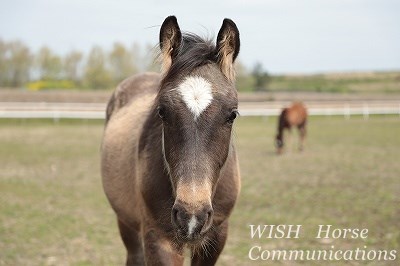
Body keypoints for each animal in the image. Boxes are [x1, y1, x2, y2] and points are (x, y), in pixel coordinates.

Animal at [101, 15, 242, 264]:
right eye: (162, 112)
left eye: (232, 114)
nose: (191, 217)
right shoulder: (158, 238)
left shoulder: (217, 236)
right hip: (126, 223)